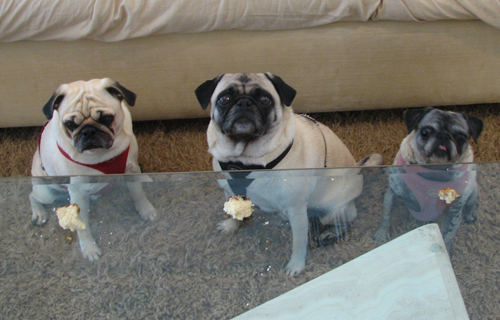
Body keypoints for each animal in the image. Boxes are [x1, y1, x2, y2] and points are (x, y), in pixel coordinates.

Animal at [29, 79, 158, 262]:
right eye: (70, 124)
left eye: (107, 118)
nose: (88, 131)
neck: (101, 156)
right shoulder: (78, 194)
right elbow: (83, 228)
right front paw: (89, 248)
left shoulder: (131, 170)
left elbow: (138, 194)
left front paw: (146, 210)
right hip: (47, 193)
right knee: (32, 196)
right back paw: (39, 213)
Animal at [195, 72, 382, 276]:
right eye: (224, 99)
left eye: (265, 100)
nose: (244, 103)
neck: (245, 160)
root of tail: (357, 168)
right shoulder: (229, 191)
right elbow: (234, 213)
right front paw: (231, 225)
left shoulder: (297, 209)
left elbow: (299, 243)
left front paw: (296, 265)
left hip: (332, 211)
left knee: (345, 222)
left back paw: (330, 233)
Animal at [374, 107, 482, 252]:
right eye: (426, 131)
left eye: (461, 137)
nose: (443, 136)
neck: (434, 171)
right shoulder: (393, 194)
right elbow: (386, 216)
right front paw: (382, 233)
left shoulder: (454, 212)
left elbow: (448, 235)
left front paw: (446, 249)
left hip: (473, 190)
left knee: (472, 203)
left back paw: (470, 214)